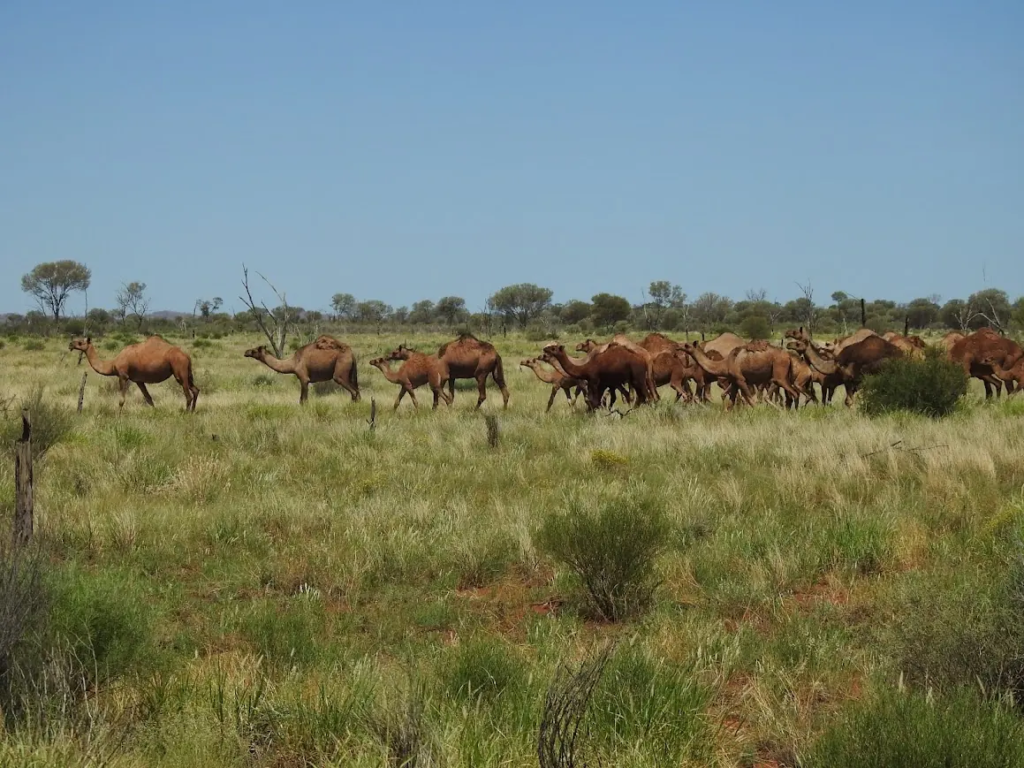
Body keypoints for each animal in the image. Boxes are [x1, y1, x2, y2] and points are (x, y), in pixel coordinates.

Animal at [69, 336, 198, 412]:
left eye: (80, 343)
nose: (70, 344)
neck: (112, 364)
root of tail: (186, 356)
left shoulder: (123, 376)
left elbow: (121, 400)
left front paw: (117, 418)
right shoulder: (139, 380)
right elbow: (148, 398)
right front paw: (155, 413)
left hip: (179, 370)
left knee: (188, 395)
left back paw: (186, 414)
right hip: (186, 373)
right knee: (196, 390)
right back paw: (192, 412)